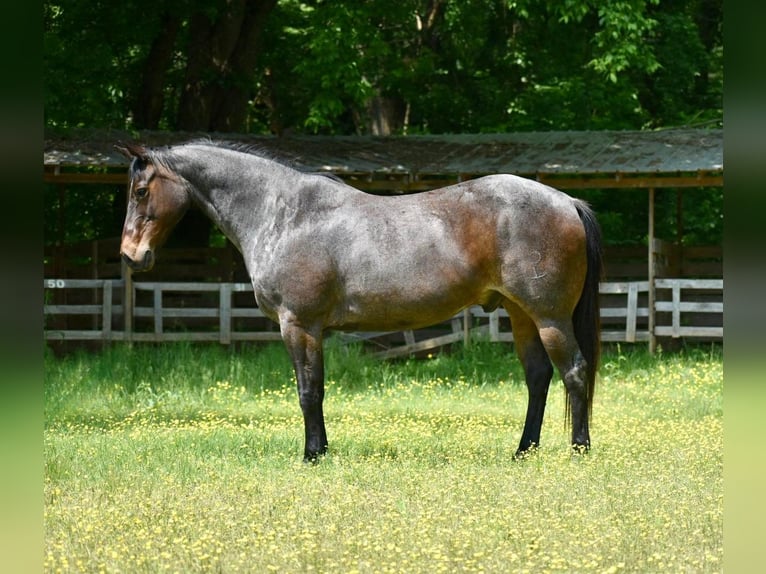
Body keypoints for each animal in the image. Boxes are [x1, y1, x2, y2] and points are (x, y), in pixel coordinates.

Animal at [117, 140, 604, 464]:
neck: (283, 214)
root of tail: (567, 201)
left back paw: (578, 451)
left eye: (140, 191)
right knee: (539, 376)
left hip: (549, 316)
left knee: (574, 372)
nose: (130, 256)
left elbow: (308, 390)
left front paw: (312, 455)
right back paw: (523, 452)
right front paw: (321, 450)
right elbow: (317, 389)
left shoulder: (299, 325)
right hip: (521, 313)